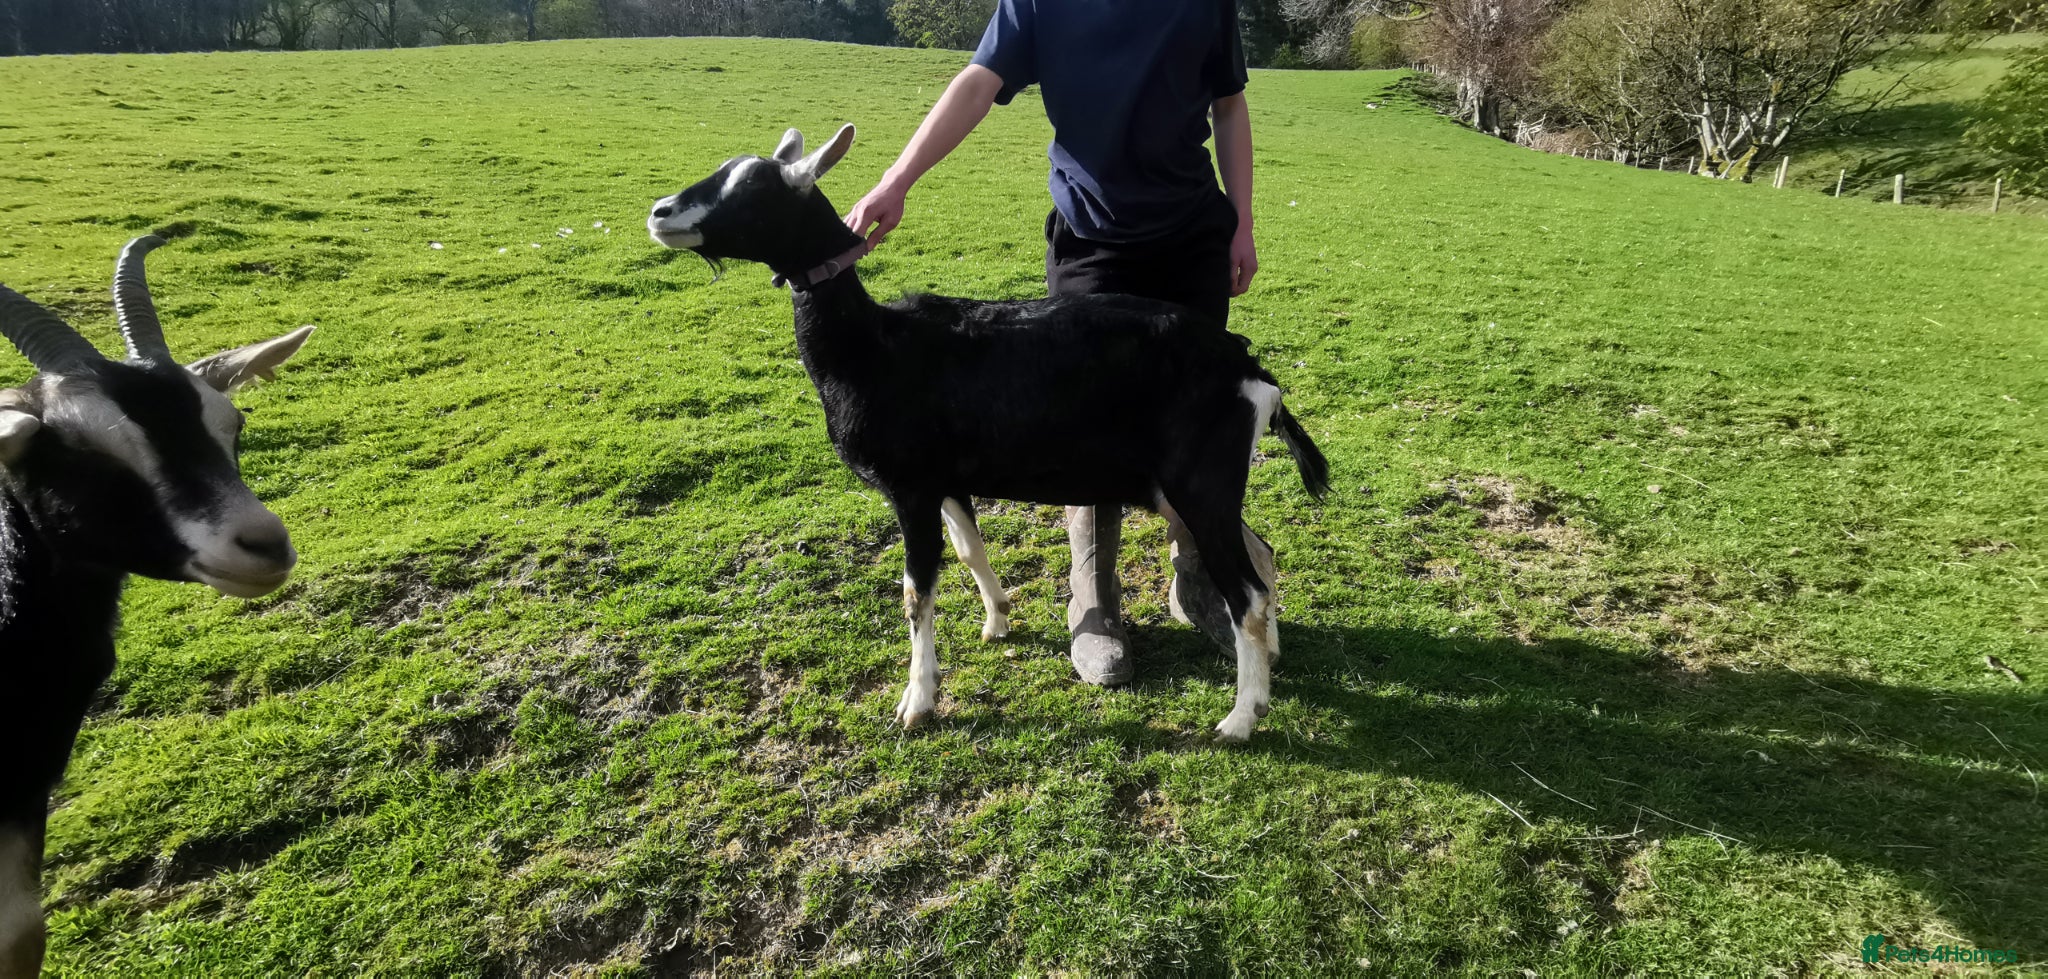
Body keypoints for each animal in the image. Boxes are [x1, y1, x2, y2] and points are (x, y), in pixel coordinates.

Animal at [646, 124, 1328, 743]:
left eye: (754, 189)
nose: (660, 213)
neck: (874, 348)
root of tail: (1249, 370)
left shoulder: (910, 488)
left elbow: (916, 591)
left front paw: (917, 703)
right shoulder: (948, 481)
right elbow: (970, 548)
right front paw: (998, 620)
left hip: (1199, 483)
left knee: (1246, 593)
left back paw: (1240, 718)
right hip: (1185, 488)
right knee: (1262, 558)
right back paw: (1270, 659)